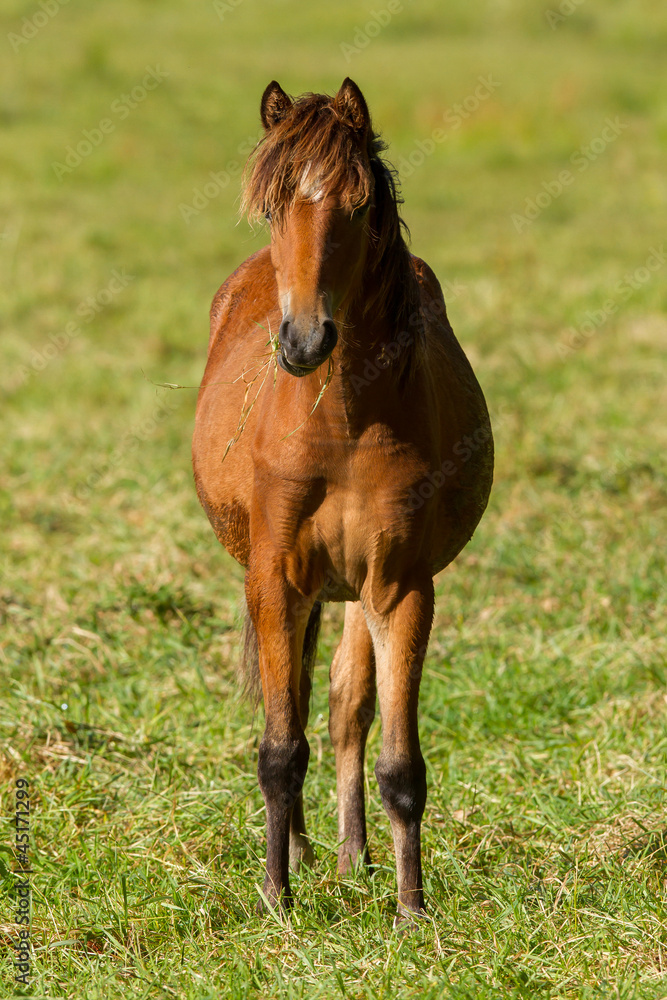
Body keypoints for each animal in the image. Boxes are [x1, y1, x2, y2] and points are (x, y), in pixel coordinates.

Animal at [192, 78, 493, 926]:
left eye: (357, 208)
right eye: (271, 208)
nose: (303, 341)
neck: (342, 426)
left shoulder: (399, 588)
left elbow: (398, 761)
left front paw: (412, 908)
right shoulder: (274, 580)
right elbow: (277, 745)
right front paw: (276, 897)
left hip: (355, 593)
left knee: (343, 706)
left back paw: (354, 856)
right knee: (297, 701)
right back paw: (300, 854)